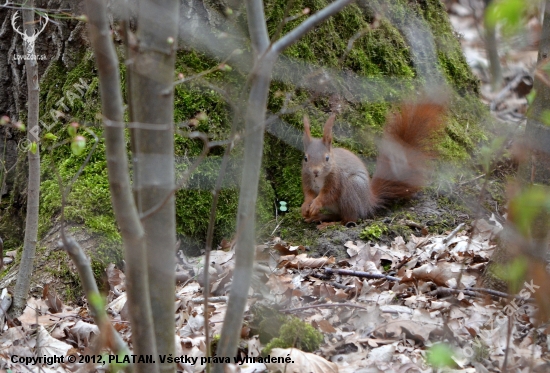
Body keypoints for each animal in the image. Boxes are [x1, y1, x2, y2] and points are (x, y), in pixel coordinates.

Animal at [302, 101, 448, 222]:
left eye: (327, 158)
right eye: (305, 158)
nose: (315, 171)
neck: (319, 178)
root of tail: (368, 201)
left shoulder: (336, 179)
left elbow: (328, 195)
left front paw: (316, 204)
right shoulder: (307, 178)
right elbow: (309, 193)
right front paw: (305, 206)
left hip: (352, 188)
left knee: (349, 219)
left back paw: (330, 223)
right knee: (338, 215)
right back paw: (320, 217)